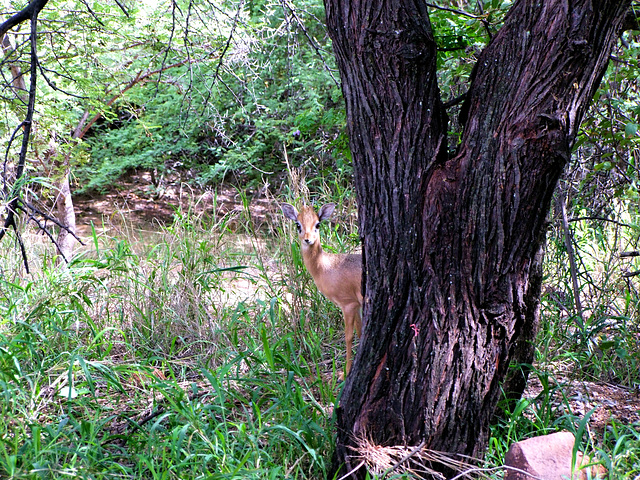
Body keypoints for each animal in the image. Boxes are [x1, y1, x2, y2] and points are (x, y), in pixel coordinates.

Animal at [282, 201, 362, 376]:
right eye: (298, 224)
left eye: (317, 224)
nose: (308, 239)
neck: (326, 267)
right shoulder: (358, 305)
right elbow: (360, 331)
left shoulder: (348, 304)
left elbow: (348, 336)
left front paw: (345, 372)